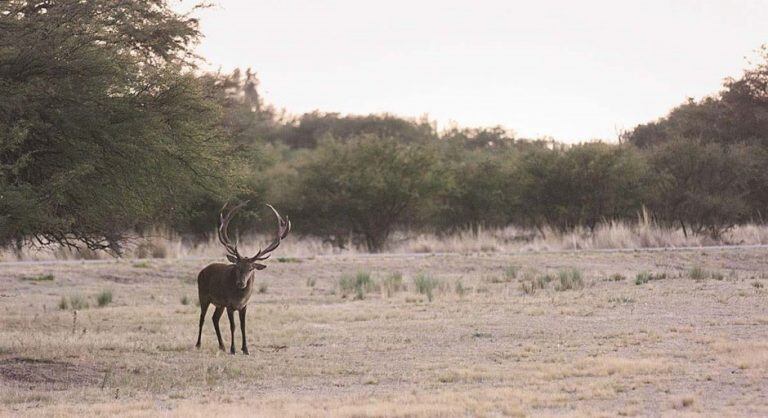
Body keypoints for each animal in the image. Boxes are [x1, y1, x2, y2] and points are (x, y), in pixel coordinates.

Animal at [195, 201, 292, 354]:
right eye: (237, 266)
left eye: (251, 268)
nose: (241, 283)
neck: (239, 298)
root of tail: (202, 271)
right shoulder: (229, 304)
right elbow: (233, 326)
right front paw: (233, 349)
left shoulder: (244, 305)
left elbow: (243, 326)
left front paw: (245, 349)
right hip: (203, 295)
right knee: (202, 318)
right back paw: (198, 344)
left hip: (219, 304)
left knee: (214, 318)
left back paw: (222, 346)